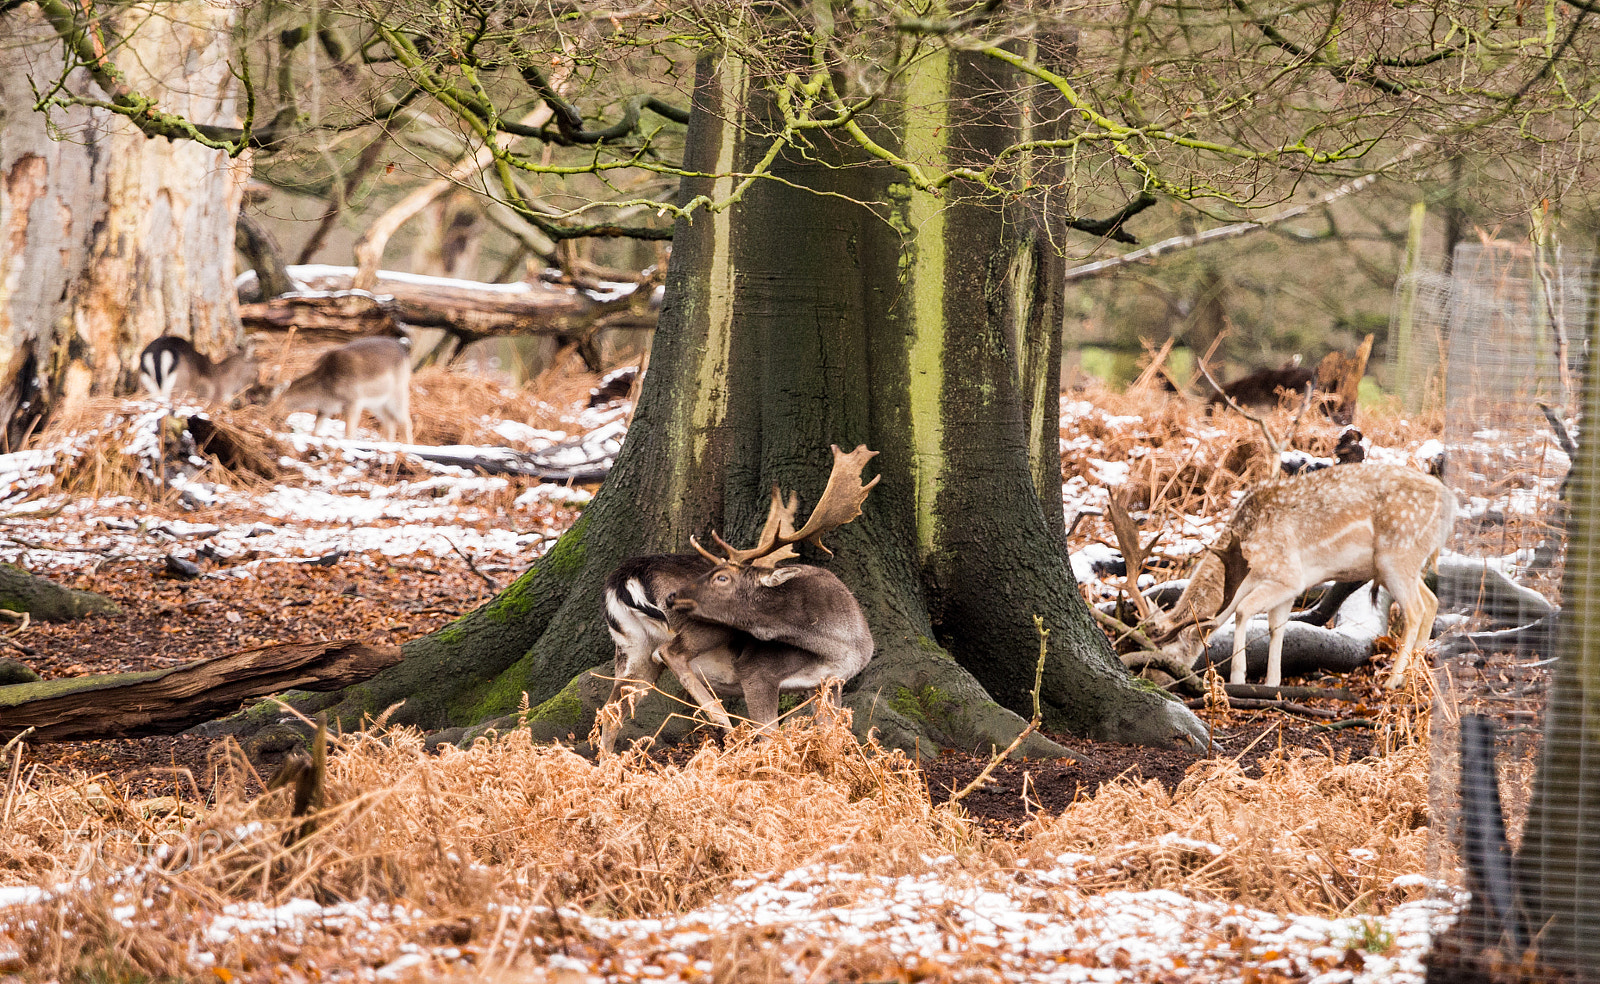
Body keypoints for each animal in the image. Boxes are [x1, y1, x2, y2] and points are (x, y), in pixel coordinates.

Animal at [273, 339, 412, 448]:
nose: (272, 419)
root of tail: (404, 350)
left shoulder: (353, 401)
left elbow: (349, 431)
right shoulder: (326, 407)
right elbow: (316, 426)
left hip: (398, 392)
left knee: (405, 420)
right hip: (376, 403)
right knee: (389, 421)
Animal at [598, 448, 883, 755]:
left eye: (721, 577)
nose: (673, 596)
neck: (841, 647)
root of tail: (624, 577)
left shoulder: (829, 684)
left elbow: (832, 737)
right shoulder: (758, 672)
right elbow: (770, 735)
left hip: (632, 649)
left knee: (612, 710)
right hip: (704, 628)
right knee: (670, 653)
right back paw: (724, 722)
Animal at [1145, 464, 1459, 688]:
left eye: (1169, 654)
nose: (1152, 681)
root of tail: (1452, 505)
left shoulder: (1288, 576)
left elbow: (1243, 611)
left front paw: (1238, 679)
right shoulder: (1289, 590)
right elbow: (1277, 627)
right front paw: (1272, 683)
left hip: (1397, 556)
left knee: (1415, 611)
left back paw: (1393, 680)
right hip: (1405, 564)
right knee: (1431, 601)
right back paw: (1412, 676)